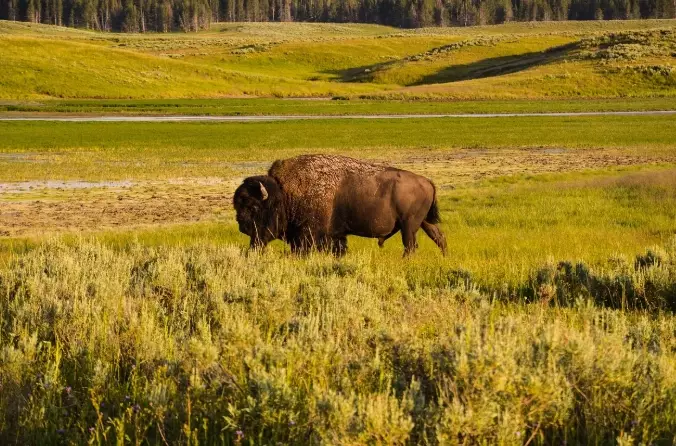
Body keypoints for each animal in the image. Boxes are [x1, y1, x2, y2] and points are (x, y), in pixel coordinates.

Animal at [233, 154, 446, 256]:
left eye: (253, 207)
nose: (242, 226)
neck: (285, 194)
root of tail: (427, 181)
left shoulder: (308, 235)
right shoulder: (335, 236)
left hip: (408, 226)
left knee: (411, 246)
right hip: (424, 223)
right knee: (439, 238)